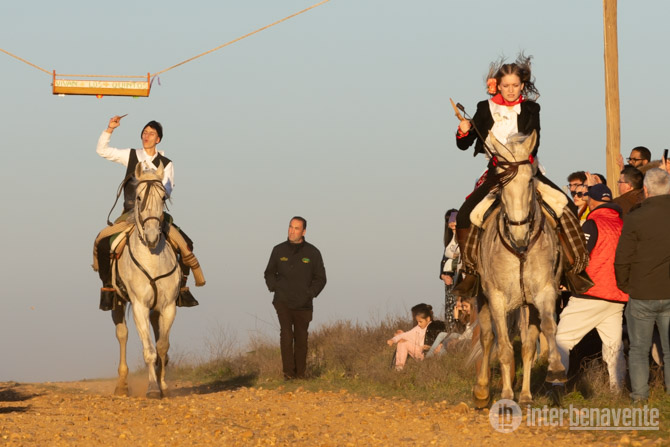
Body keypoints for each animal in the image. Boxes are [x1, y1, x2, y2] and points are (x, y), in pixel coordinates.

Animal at [110, 163, 181, 399]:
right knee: (122, 334)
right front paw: (152, 388)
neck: (151, 258)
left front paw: (163, 385)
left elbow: (162, 347)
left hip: (155, 309)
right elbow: (149, 350)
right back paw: (122, 385)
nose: (151, 237)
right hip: (117, 301)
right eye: (138, 196)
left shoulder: (168, 306)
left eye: (163, 197)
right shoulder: (139, 305)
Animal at [472, 130, 566, 408]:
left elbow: (547, 330)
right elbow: (503, 346)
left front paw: (555, 369)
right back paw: (482, 391)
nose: (519, 232)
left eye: (530, 181)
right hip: (482, 297)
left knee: (527, 345)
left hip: (527, 305)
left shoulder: (544, 292)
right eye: (501, 184)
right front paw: (505, 396)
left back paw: (523, 395)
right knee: (487, 338)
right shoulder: (497, 298)